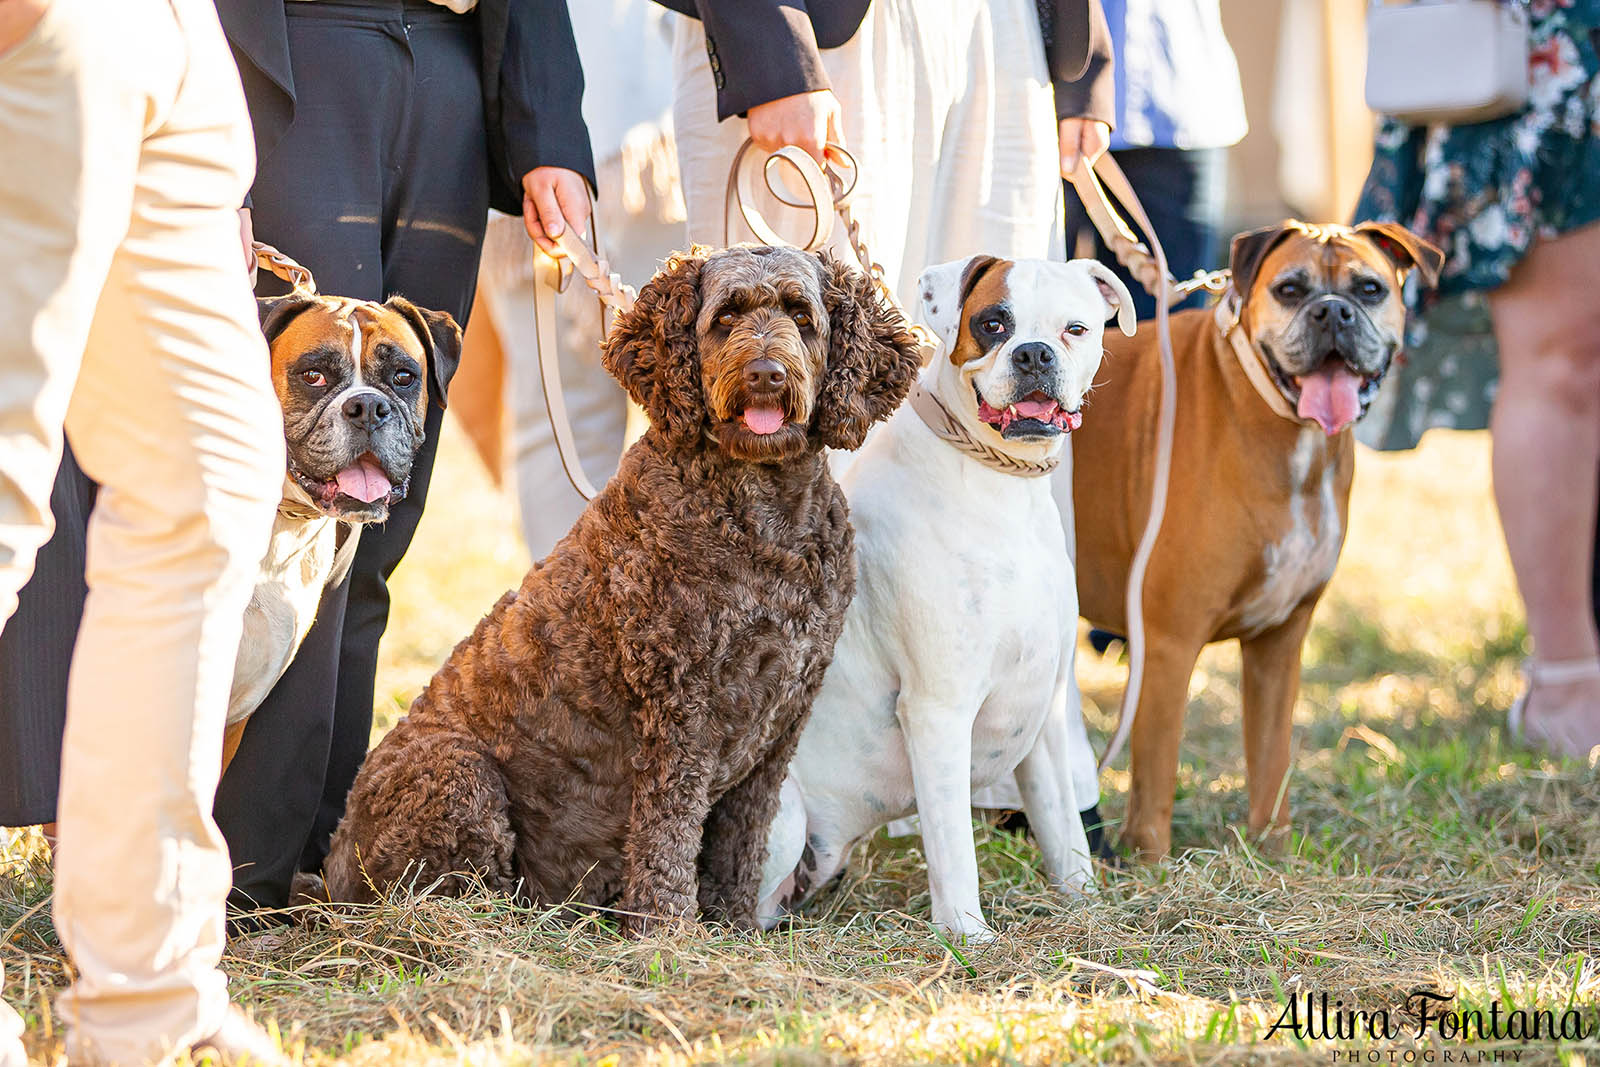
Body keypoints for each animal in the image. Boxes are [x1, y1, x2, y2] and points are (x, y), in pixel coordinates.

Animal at [755, 254, 1132, 940]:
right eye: (992, 323)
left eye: (1076, 329)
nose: (1033, 353)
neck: (999, 483)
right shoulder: (939, 710)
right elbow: (954, 844)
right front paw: (968, 935)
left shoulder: (1043, 712)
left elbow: (1063, 827)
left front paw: (1085, 904)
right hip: (784, 814)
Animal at [1068, 220, 1446, 863]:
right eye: (1290, 289)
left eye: (1369, 288)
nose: (1332, 312)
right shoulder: (1167, 645)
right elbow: (1156, 774)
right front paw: (1150, 864)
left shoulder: (1278, 644)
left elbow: (1271, 761)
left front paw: (1273, 852)